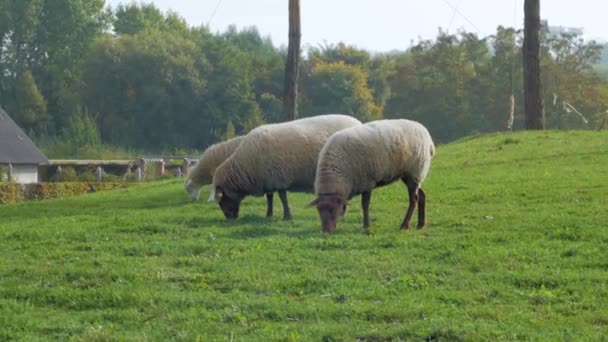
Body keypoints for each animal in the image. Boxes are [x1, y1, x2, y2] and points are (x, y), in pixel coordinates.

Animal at [213, 113, 360, 220]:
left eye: (222, 198)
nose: (229, 218)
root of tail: (358, 123)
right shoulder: (269, 181)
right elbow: (270, 198)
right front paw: (269, 215)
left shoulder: (279, 178)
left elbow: (282, 198)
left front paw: (287, 216)